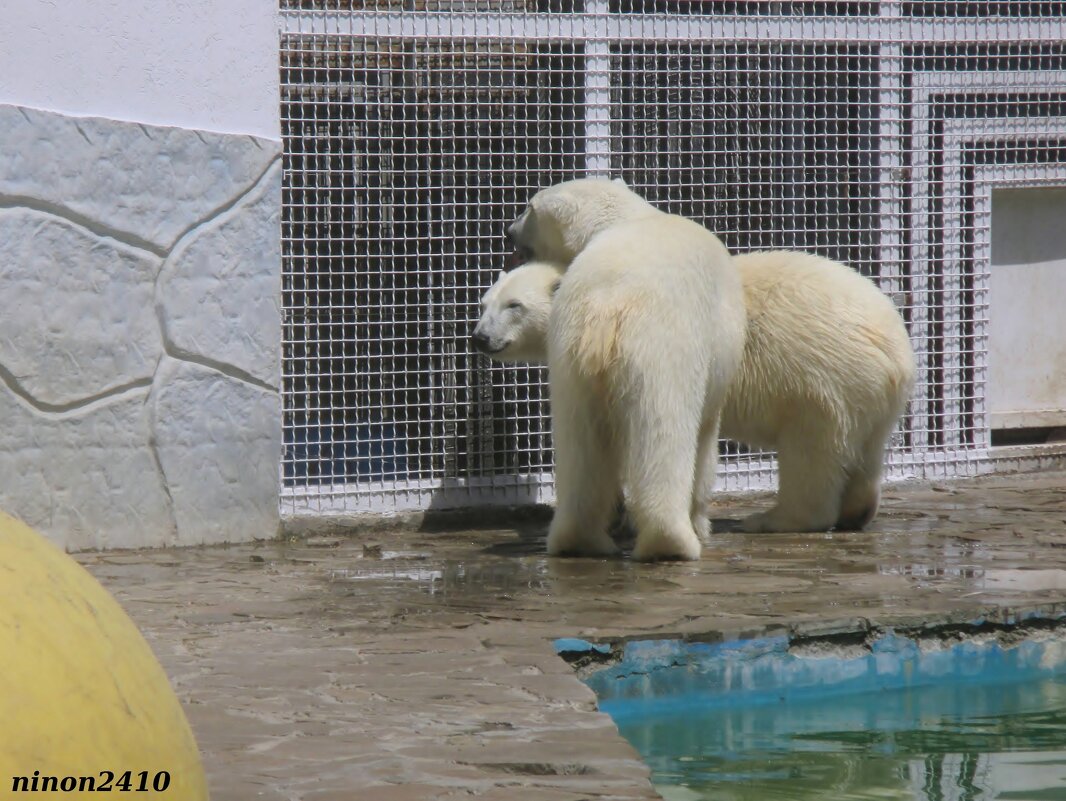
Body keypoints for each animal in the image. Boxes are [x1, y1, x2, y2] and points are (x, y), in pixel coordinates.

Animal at [475, 250, 916, 535]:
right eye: (484, 302)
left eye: (514, 305)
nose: (479, 337)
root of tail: (895, 348)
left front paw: (623, 516)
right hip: (869, 393)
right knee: (867, 448)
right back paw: (857, 511)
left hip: (821, 377)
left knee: (811, 453)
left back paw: (771, 520)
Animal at [503, 178, 746, 558]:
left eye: (528, 205)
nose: (507, 230)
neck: (623, 218)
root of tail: (608, 305)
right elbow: (707, 435)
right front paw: (701, 522)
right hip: (662, 350)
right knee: (665, 433)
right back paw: (671, 542)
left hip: (571, 355)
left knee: (579, 445)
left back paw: (581, 540)